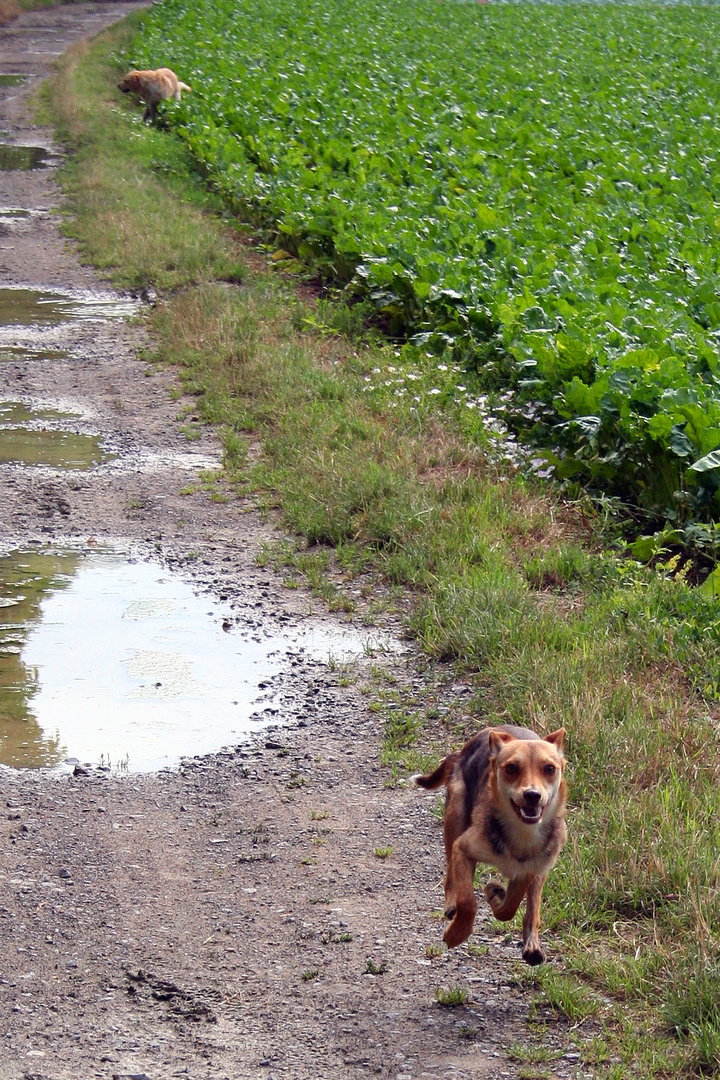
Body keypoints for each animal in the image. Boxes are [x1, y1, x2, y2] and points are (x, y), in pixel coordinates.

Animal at [416, 725, 569, 963]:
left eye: (550, 768)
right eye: (511, 768)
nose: (532, 795)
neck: (521, 832)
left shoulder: (530, 869)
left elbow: (511, 907)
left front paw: (496, 895)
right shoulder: (463, 848)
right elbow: (467, 901)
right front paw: (456, 933)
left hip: (543, 866)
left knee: (533, 907)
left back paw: (532, 946)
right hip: (455, 817)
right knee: (450, 875)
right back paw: (451, 905)